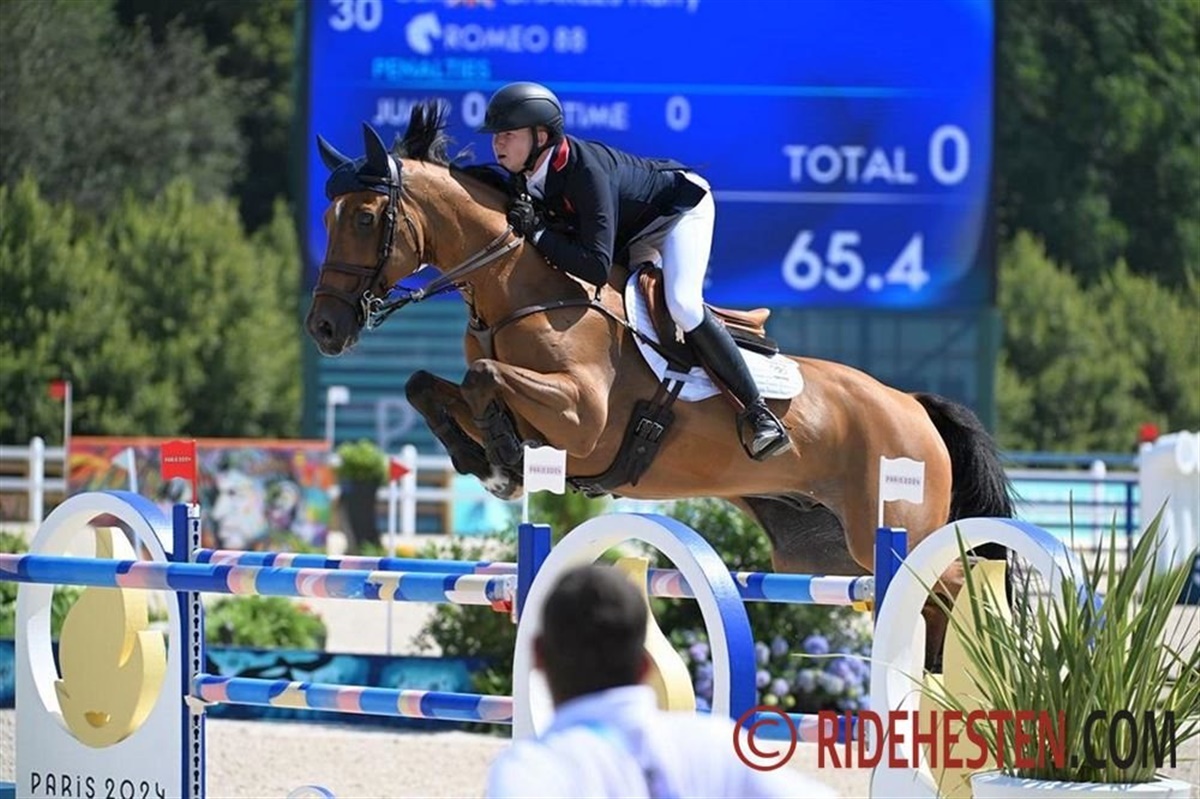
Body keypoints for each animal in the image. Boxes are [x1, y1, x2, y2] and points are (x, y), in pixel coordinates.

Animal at [304, 102, 1015, 669]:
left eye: (365, 217)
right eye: (329, 217)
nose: (324, 328)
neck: (519, 291)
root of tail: (912, 406)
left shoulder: (582, 421)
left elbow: (484, 378)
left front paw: (504, 459)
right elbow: (426, 385)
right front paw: (484, 459)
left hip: (897, 531)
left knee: (960, 593)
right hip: (830, 553)